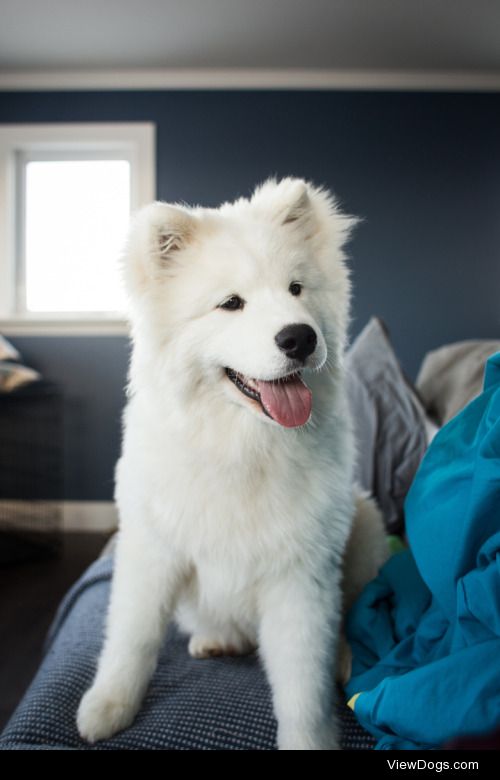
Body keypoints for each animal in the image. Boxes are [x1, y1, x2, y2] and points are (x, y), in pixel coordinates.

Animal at [77, 177, 386, 748]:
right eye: (231, 304)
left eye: (296, 290)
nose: (300, 337)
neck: (241, 445)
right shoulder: (151, 551)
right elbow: (131, 639)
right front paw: (107, 708)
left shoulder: (300, 577)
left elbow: (302, 687)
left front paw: (310, 739)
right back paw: (216, 638)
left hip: (365, 522)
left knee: (356, 610)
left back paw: (345, 659)